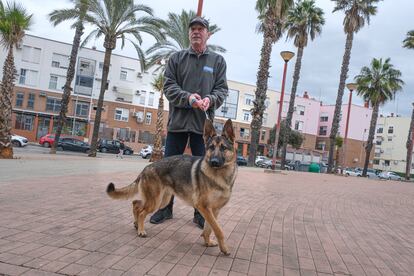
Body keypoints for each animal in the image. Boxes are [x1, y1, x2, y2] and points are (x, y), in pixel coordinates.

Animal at [105, 118, 238, 254]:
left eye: (223, 148)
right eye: (211, 147)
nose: (214, 162)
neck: (220, 175)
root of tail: (146, 168)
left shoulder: (213, 210)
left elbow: (209, 228)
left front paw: (208, 242)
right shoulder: (204, 207)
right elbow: (218, 229)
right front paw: (224, 248)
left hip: (161, 200)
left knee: (136, 204)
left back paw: (137, 225)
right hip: (156, 202)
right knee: (141, 211)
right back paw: (141, 231)